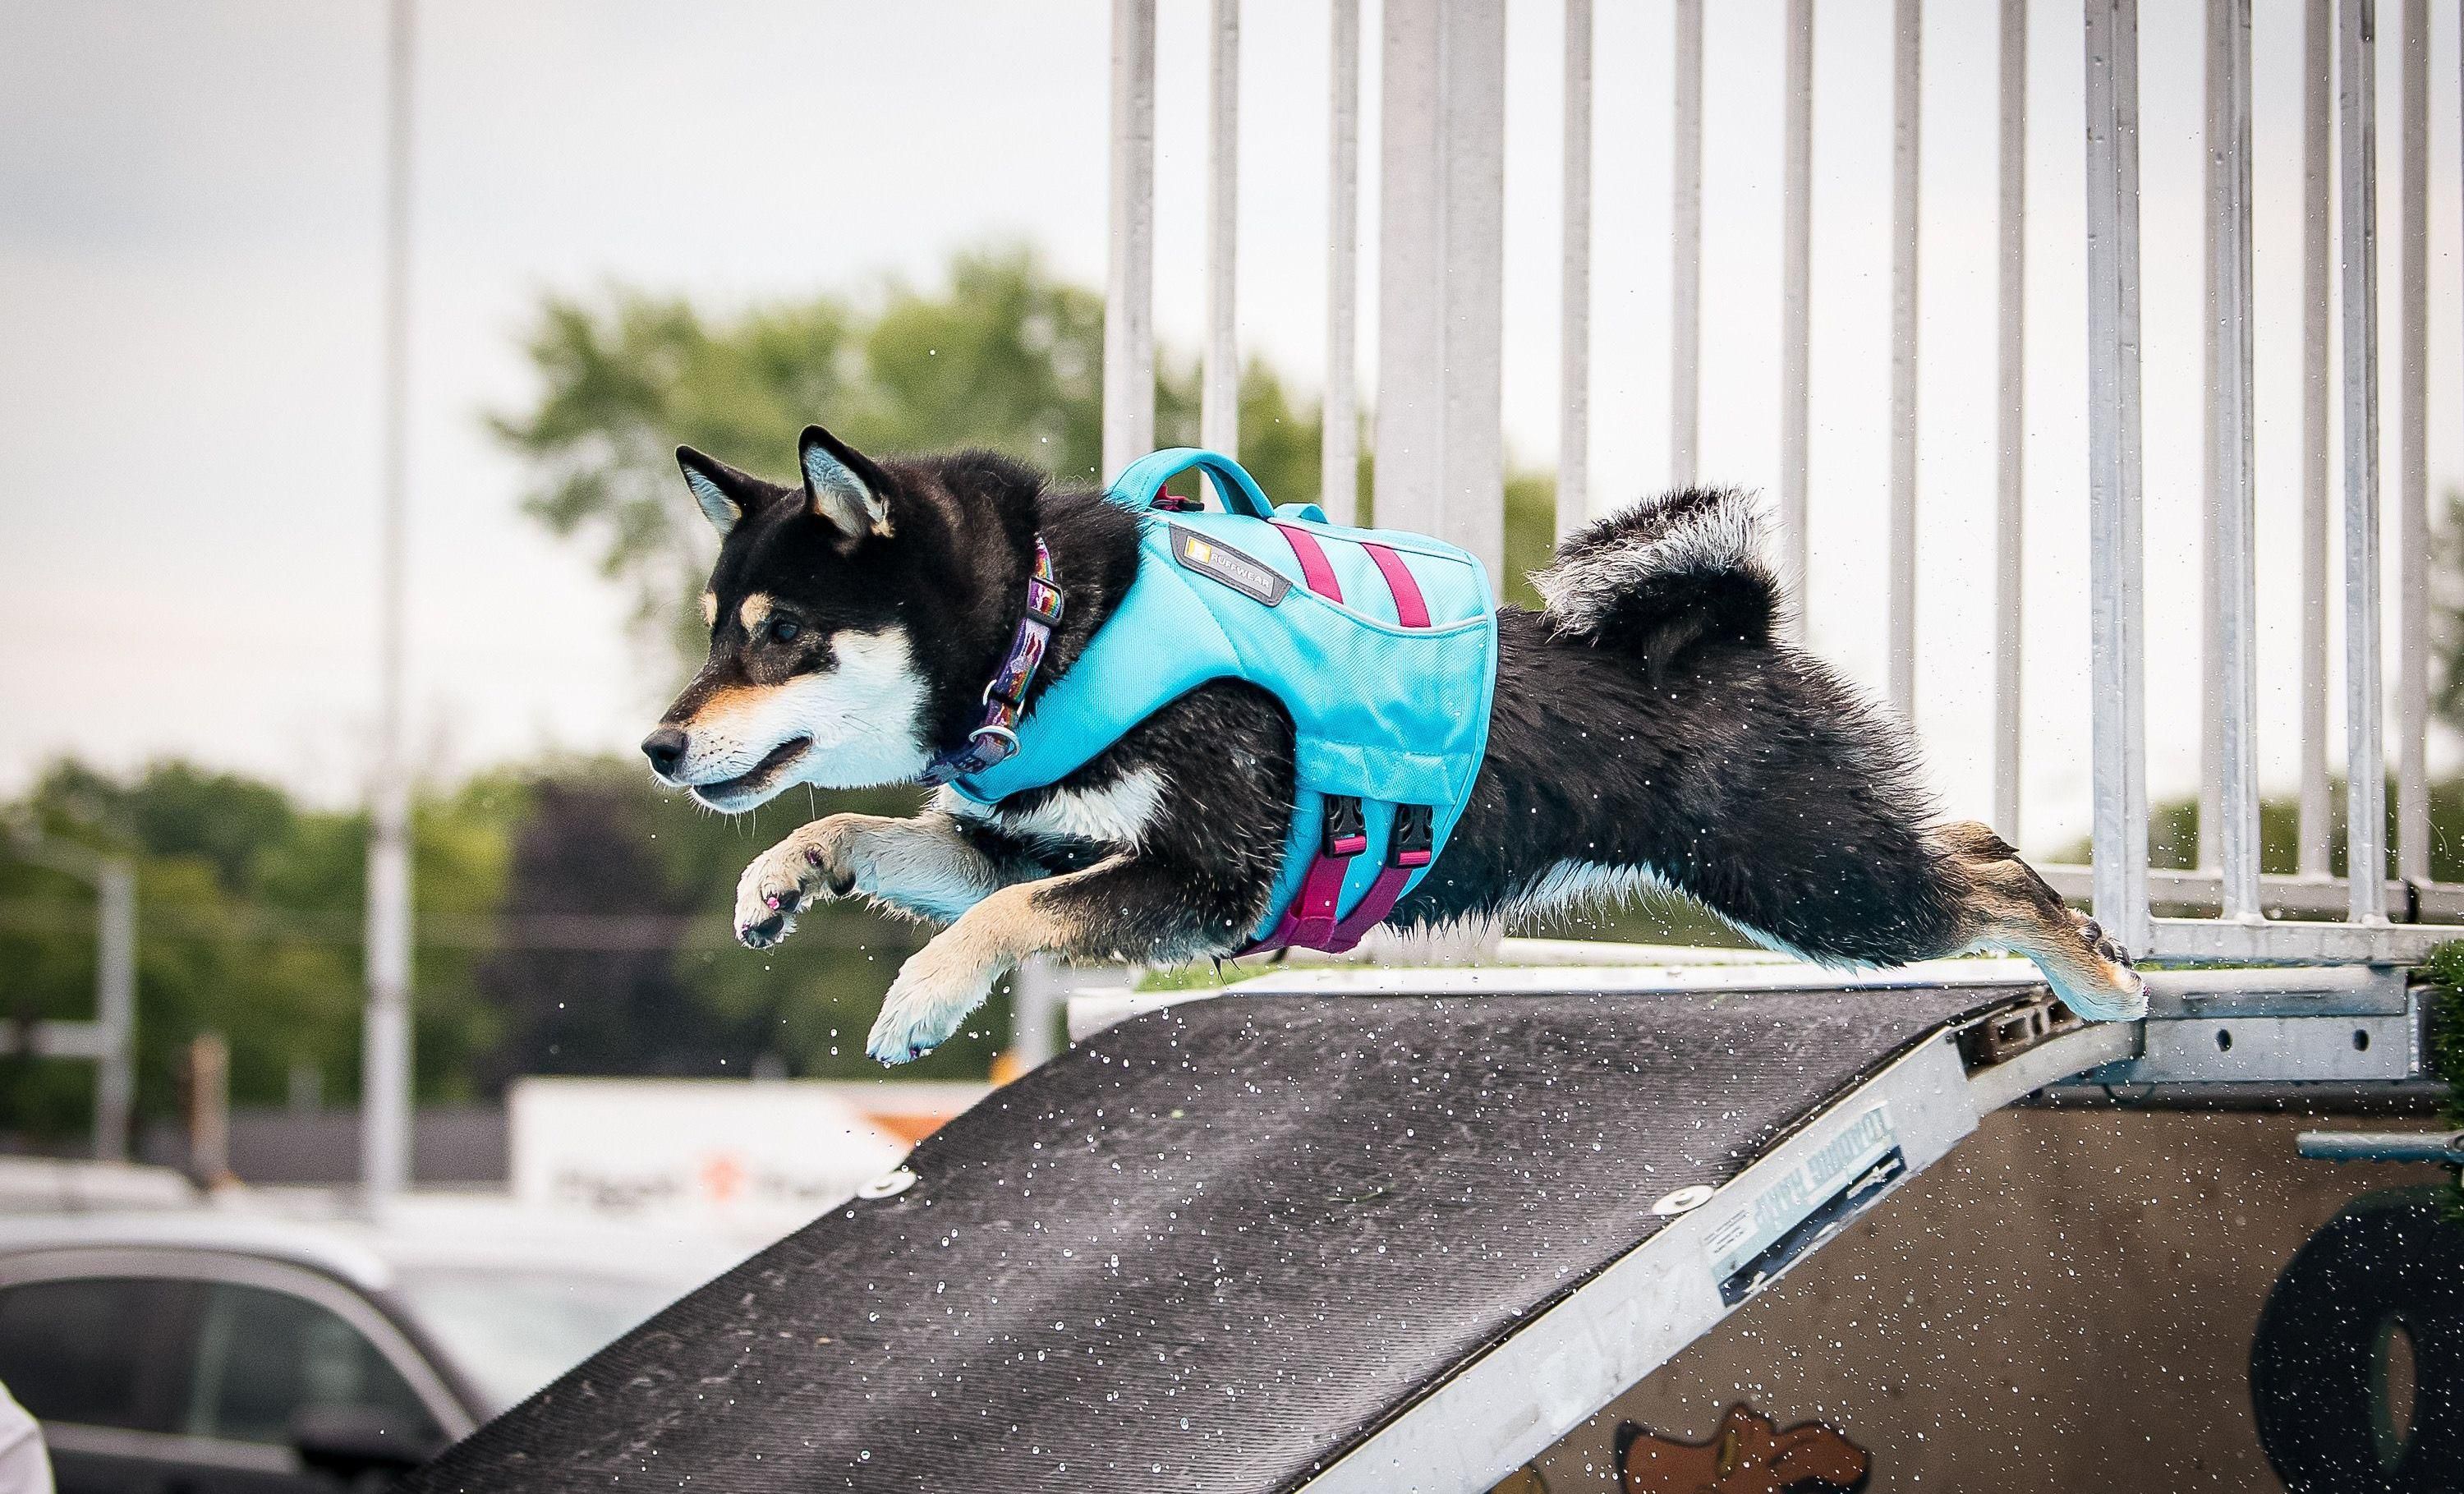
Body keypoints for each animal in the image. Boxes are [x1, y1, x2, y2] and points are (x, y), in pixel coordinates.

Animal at [646, 426, 2149, 1069]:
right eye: (719, 629)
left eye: (783, 633)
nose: (659, 743)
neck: (1048, 630)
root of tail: (1733, 626)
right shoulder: (1033, 841)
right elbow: (865, 832)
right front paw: (781, 876)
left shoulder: (1206, 877)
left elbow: (1001, 916)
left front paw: (917, 998)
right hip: (1810, 881)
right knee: (1966, 839)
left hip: (1814, 883)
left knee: (1984, 864)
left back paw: (2108, 974)